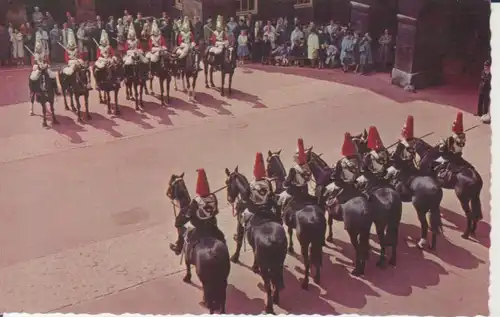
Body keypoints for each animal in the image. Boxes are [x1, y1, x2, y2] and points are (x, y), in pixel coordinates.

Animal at [167, 172, 231, 312]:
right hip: (223, 279)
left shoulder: (186, 255)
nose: (167, 193)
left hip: (206, 281)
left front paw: (187, 278)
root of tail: (215, 255)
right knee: (222, 298)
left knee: (210, 296)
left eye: (171, 184)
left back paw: (205, 303)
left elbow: (187, 267)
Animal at [225, 167, 288, 312]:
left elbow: (239, 242)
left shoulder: (240, 225)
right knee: (276, 281)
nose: (229, 198)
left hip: (267, 268)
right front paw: (254, 266)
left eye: (228, 183)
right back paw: (276, 299)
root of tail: (274, 241)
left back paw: (269, 307)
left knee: (269, 286)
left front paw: (235, 257)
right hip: (278, 263)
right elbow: (254, 252)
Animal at [264, 152, 326, 288]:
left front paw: (290, 248)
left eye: (268, 163)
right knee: (317, 258)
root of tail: (314, 219)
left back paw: (305, 283)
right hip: (317, 241)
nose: (267, 174)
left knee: (307, 262)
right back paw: (317, 278)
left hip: (304, 243)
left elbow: (289, 233)